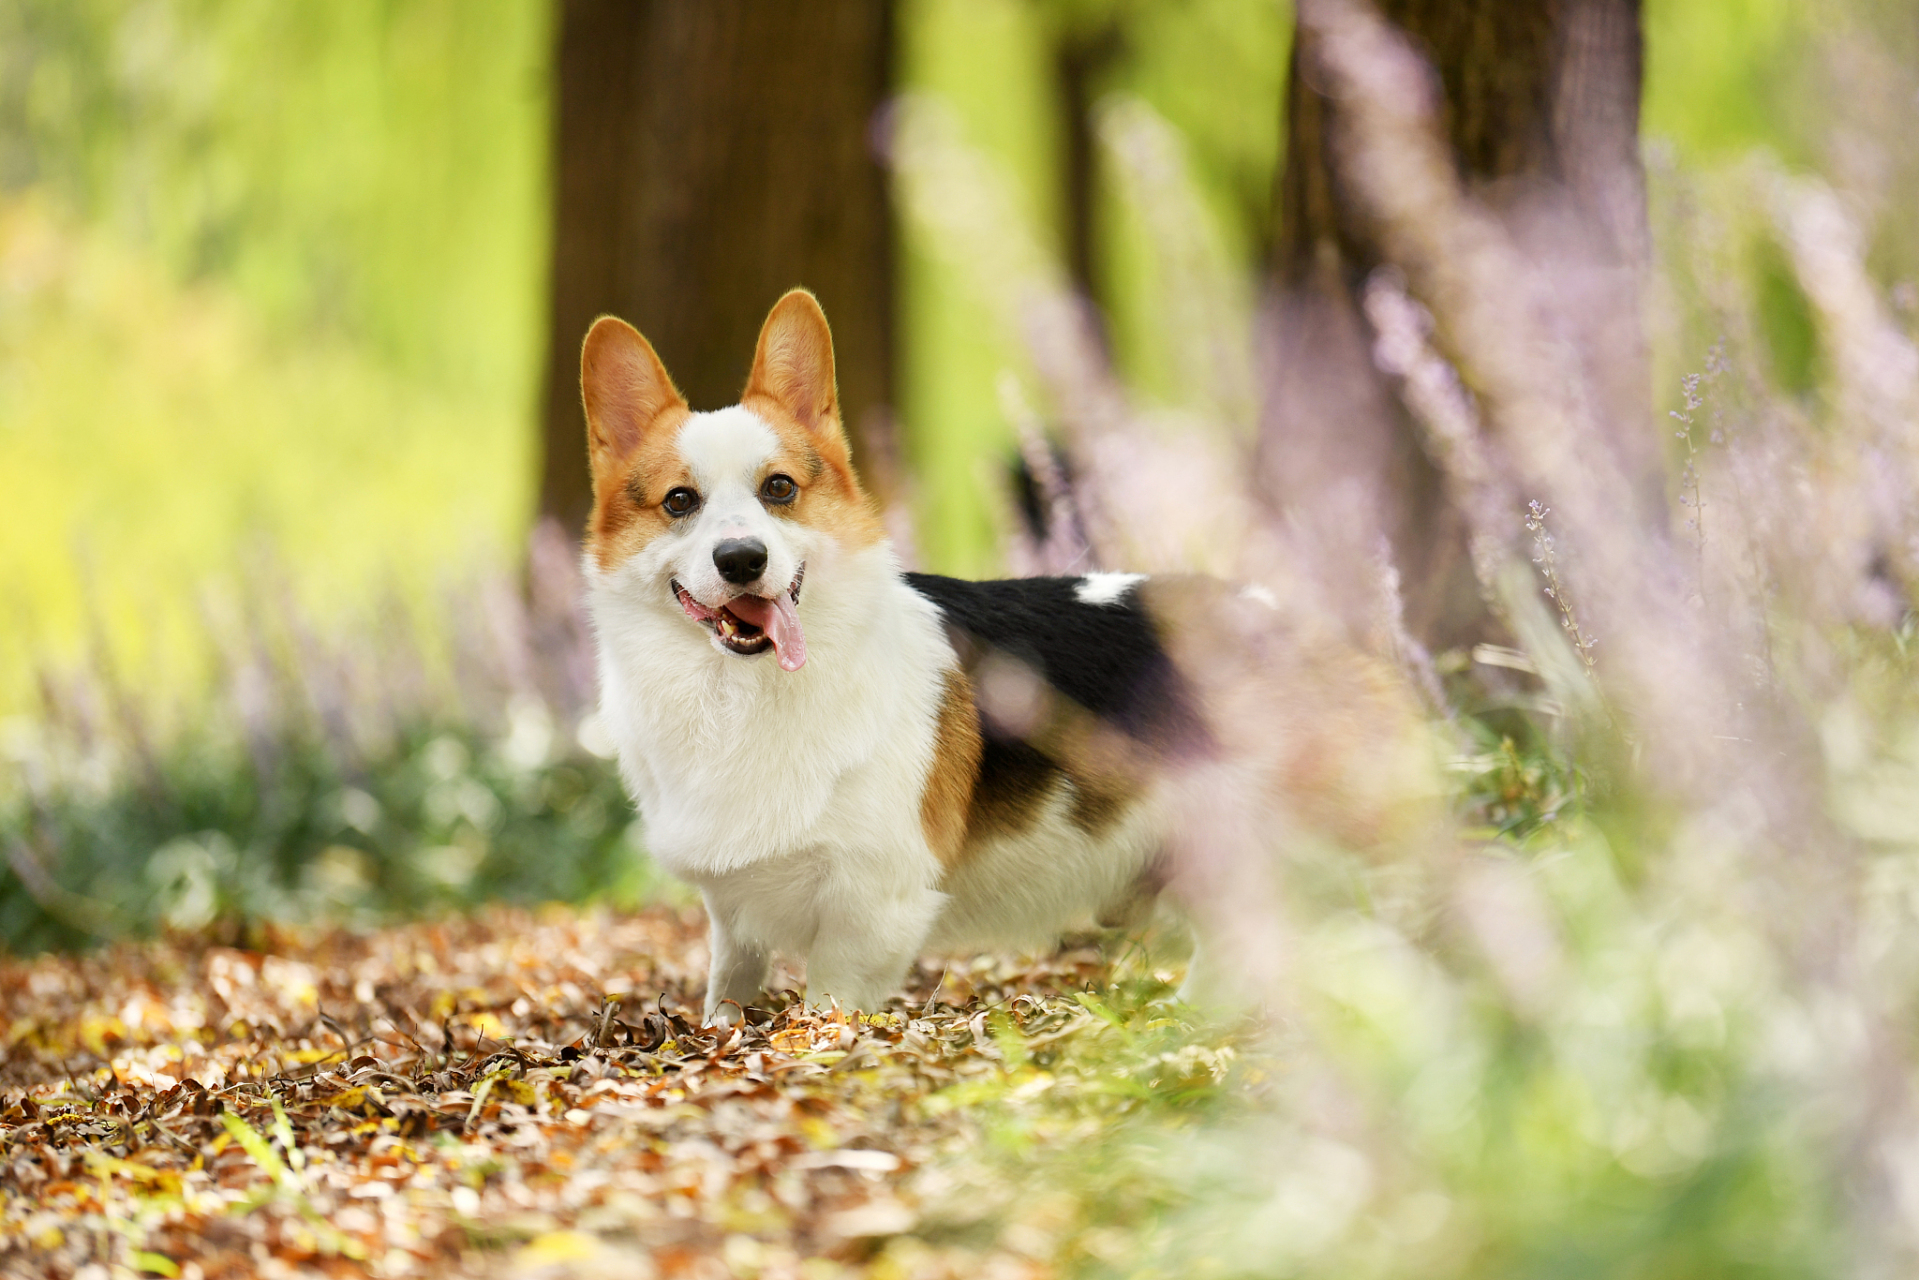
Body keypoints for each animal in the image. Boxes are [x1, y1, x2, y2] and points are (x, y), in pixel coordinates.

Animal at [575, 287, 1435, 1020]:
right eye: (679, 502)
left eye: (779, 489)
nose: (742, 559)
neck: (736, 694)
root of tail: (1311, 637)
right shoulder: (733, 915)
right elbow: (727, 991)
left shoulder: (869, 914)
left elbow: (826, 1013)